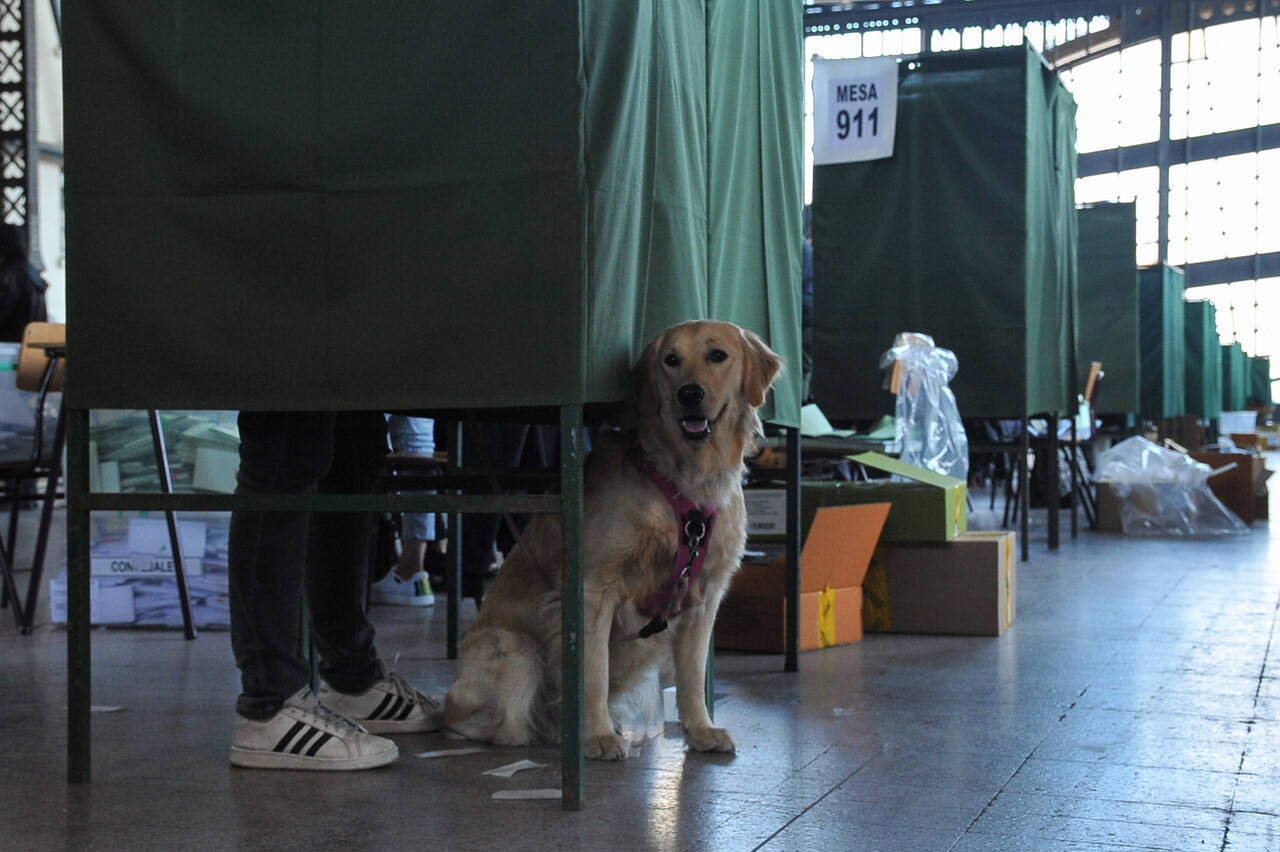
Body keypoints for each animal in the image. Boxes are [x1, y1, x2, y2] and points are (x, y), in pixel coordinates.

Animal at [445, 318, 783, 757]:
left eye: (717, 355)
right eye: (671, 360)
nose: (689, 394)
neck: (683, 481)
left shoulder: (705, 594)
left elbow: (692, 674)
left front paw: (700, 728)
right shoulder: (593, 590)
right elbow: (592, 674)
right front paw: (597, 737)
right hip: (515, 649)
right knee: (482, 724)